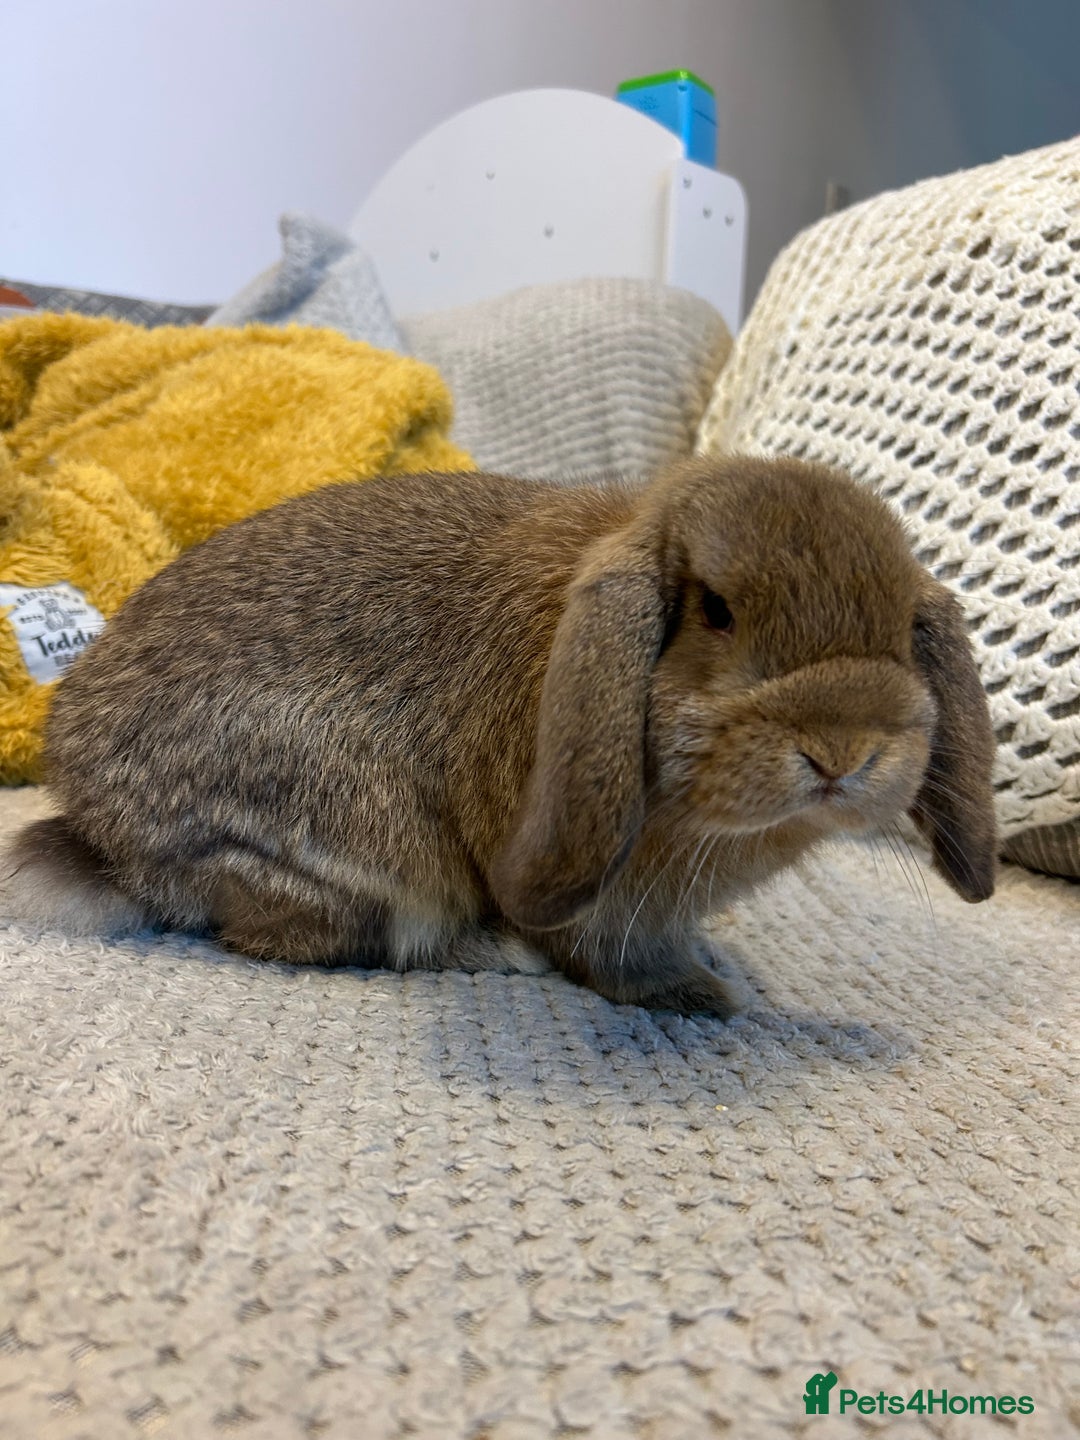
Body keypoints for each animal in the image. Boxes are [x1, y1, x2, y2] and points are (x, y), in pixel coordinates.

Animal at [4, 456, 997, 1017]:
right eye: (716, 611)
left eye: (902, 626)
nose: (845, 751)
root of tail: (103, 841)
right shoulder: (597, 895)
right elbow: (612, 957)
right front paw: (697, 997)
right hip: (363, 860)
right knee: (333, 937)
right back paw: (499, 954)